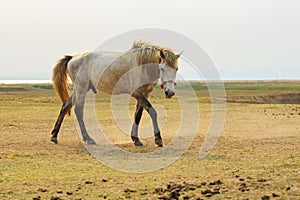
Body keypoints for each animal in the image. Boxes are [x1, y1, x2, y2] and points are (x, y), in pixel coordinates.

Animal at [50, 40, 182, 147]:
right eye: (162, 68)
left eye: (176, 69)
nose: (170, 92)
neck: (142, 65)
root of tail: (73, 58)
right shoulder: (138, 93)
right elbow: (153, 112)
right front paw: (158, 139)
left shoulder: (144, 94)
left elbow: (138, 115)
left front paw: (136, 139)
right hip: (81, 88)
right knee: (78, 111)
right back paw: (88, 138)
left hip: (79, 90)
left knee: (65, 106)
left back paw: (54, 136)